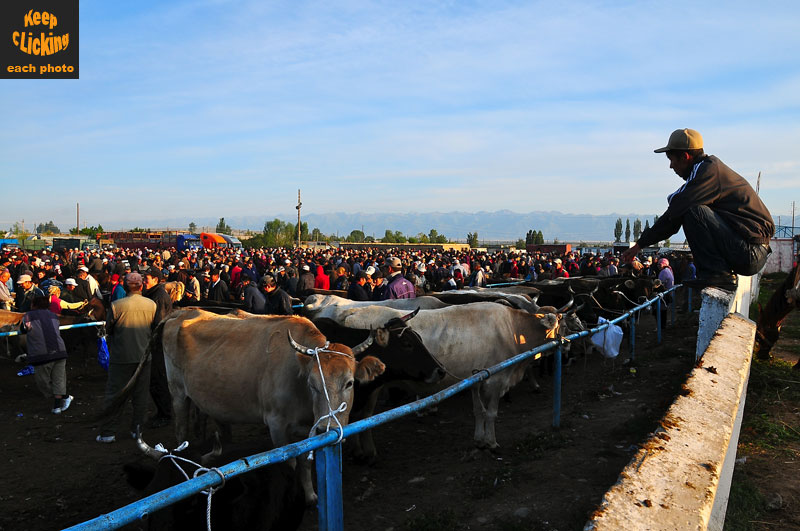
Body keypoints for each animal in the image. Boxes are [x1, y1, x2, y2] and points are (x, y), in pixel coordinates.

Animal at [157, 310, 388, 504]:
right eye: (312, 384)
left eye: (349, 383)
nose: (326, 429)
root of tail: (182, 312)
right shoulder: (276, 424)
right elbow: (290, 464)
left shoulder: (308, 429)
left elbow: (305, 462)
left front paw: (310, 495)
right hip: (177, 393)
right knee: (180, 430)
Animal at [332, 304, 564, 454]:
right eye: (557, 326)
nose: (565, 344)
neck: (512, 328)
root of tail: (352, 311)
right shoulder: (495, 380)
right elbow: (491, 413)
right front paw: (491, 442)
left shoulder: (476, 378)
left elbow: (478, 411)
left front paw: (479, 439)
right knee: (363, 416)